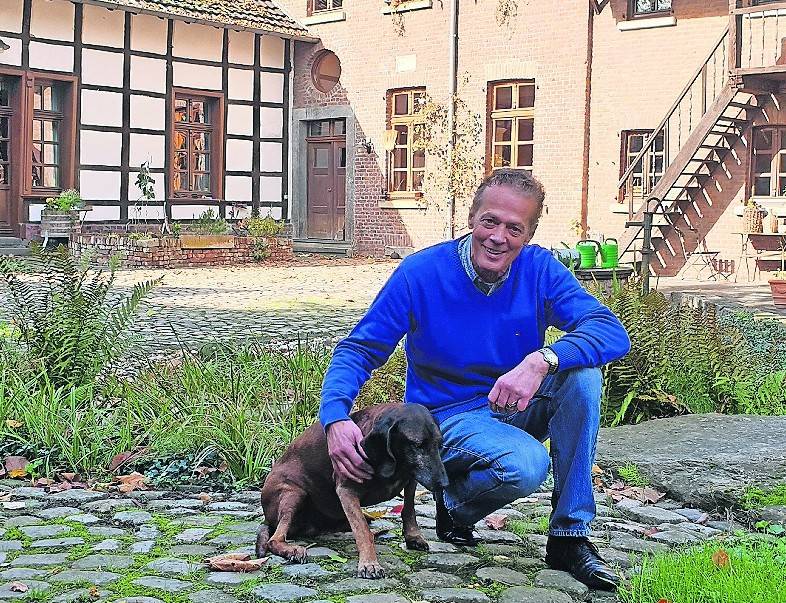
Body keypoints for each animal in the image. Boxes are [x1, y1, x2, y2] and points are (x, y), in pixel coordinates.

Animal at [254, 404, 444, 580]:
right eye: (417, 445)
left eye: (439, 444)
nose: (443, 483)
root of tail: (268, 519)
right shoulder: (347, 491)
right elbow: (362, 531)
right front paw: (369, 564)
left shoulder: (411, 479)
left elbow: (409, 510)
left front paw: (413, 537)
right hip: (294, 493)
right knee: (274, 539)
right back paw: (292, 549)